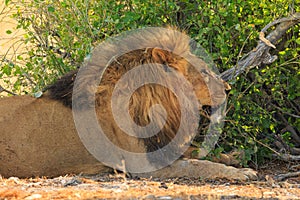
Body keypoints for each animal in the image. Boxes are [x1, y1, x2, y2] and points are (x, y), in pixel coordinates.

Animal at [0, 27, 258, 180]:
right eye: (204, 71)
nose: (228, 88)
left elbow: (199, 153)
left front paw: (236, 157)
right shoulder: (144, 164)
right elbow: (197, 165)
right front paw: (240, 173)